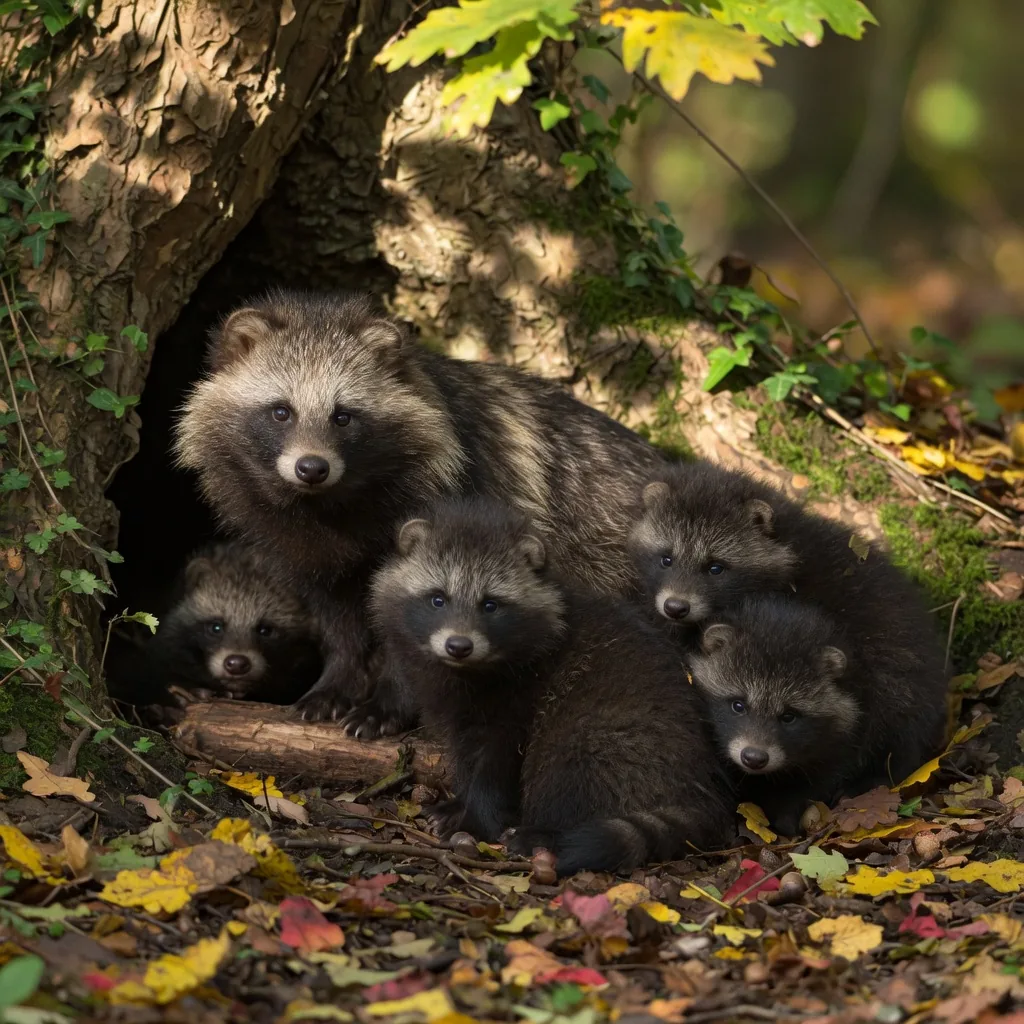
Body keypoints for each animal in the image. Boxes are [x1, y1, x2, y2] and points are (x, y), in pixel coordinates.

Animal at [174, 290, 665, 735]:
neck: (329, 505)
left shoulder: (463, 507)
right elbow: (336, 615)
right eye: (281, 411)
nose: (311, 468)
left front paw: (390, 702)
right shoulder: (300, 546)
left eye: (343, 416)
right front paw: (337, 681)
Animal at [369, 498, 733, 876]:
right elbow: (466, 755)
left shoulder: (520, 700)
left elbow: (497, 765)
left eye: (490, 605)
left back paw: (545, 833)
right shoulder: (459, 708)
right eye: (438, 599)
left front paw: (478, 818)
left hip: (617, 737)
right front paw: (461, 801)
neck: (469, 670)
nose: (458, 645)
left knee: (567, 764)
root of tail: (694, 783)